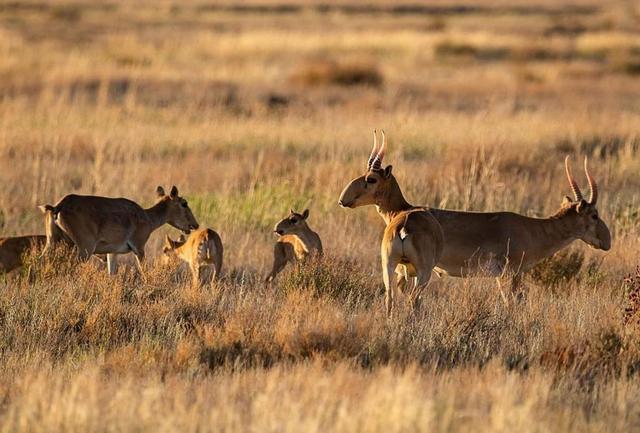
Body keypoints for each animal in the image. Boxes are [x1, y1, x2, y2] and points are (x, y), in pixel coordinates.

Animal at [38, 185, 198, 274]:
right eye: (184, 203)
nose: (195, 225)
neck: (147, 217)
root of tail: (57, 207)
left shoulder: (112, 252)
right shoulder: (139, 248)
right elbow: (144, 271)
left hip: (52, 242)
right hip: (84, 248)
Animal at [336, 130, 444, 316]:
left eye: (371, 178)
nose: (343, 200)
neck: (403, 210)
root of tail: (404, 227)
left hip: (388, 265)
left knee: (389, 297)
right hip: (422, 272)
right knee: (412, 298)